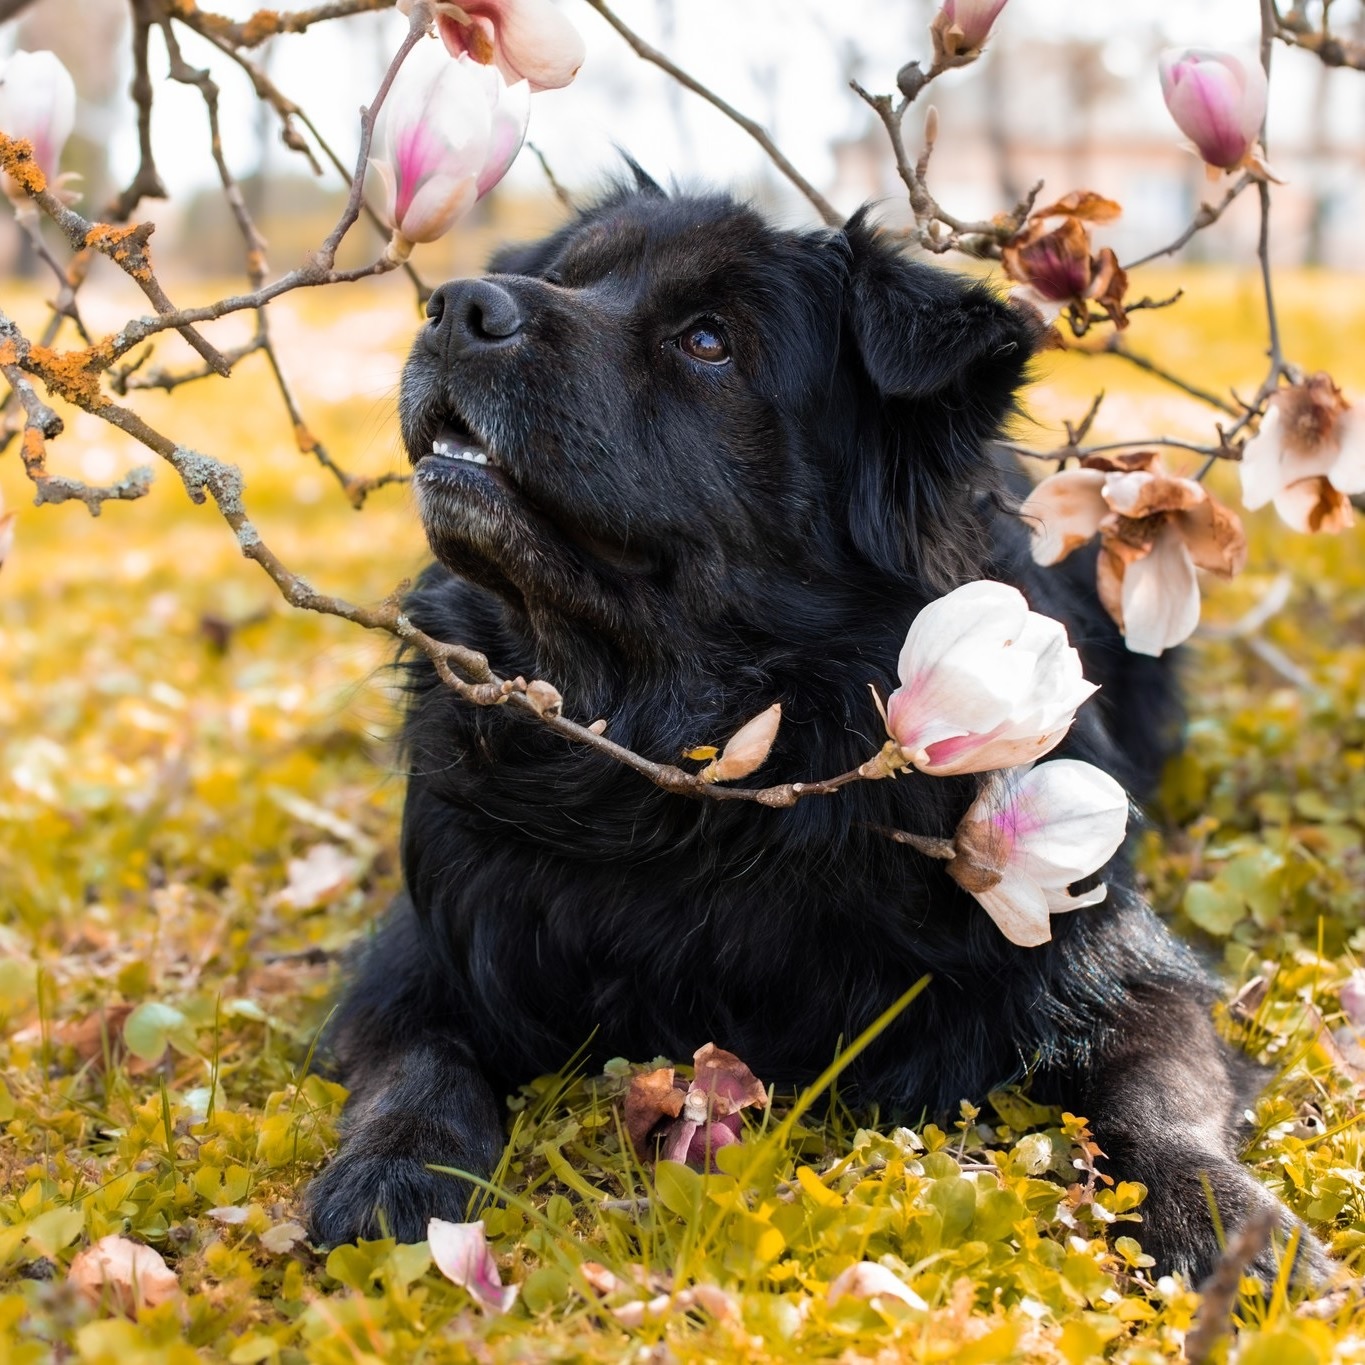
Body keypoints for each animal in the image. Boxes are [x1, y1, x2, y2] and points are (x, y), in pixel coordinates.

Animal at [304, 178, 1326, 1277]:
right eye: (570, 277)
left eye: (709, 341)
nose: (455, 306)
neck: (676, 771)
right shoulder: (423, 950)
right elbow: (418, 1062)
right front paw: (392, 1171)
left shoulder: (1103, 953)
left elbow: (1156, 1092)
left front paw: (1223, 1217)